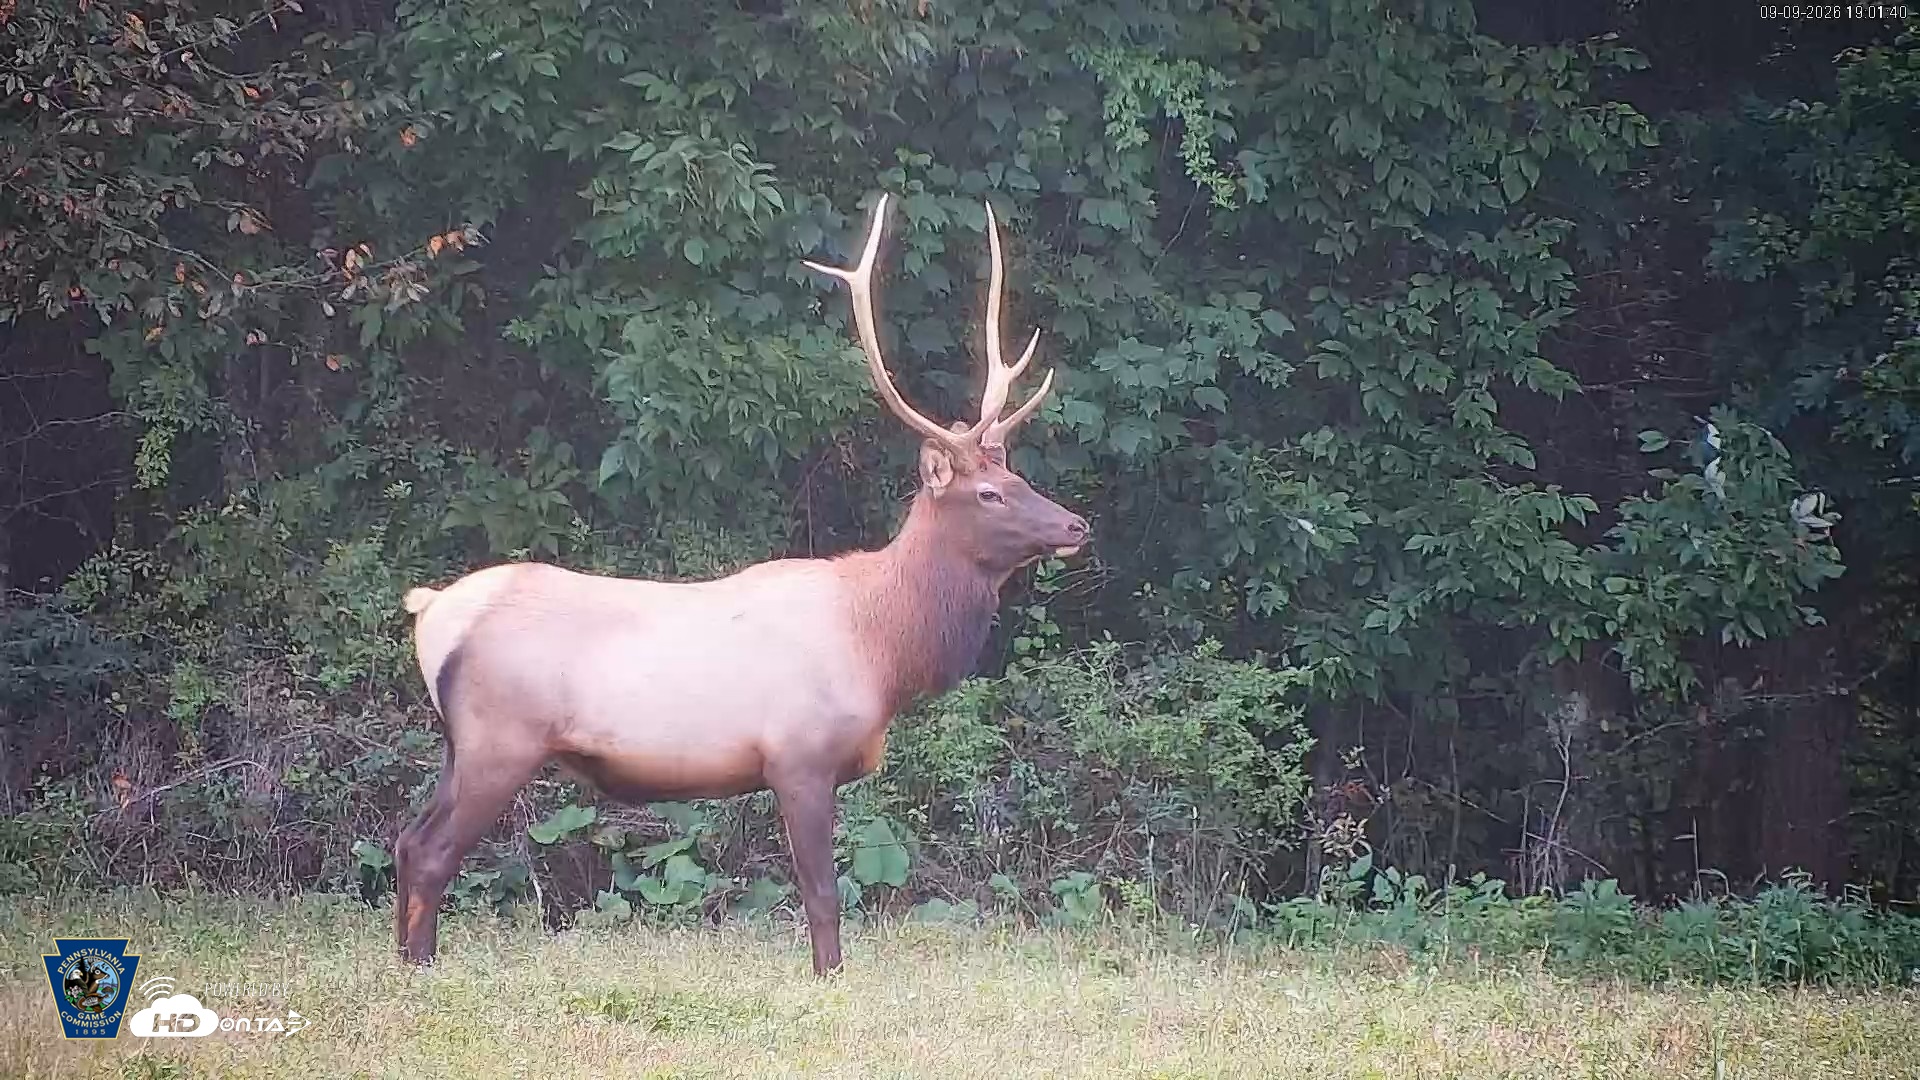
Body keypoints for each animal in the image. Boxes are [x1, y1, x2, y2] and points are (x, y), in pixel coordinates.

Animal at [392, 193, 1089, 977]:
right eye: (990, 494)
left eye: (1019, 477)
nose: (1076, 525)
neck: (882, 648)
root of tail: (431, 613)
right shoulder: (799, 754)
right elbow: (822, 893)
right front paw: (828, 978)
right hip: (499, 738)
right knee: (432, 852)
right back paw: (420, 969)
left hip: (457, 745)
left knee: (406, 840)